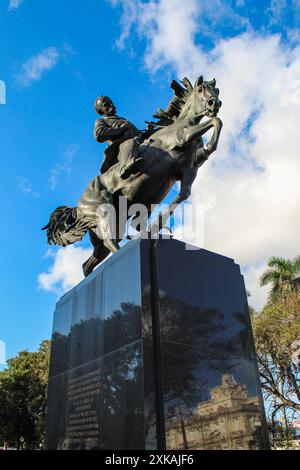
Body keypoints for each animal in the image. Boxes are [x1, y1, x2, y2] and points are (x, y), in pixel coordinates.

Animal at [44, 75, 223, 278]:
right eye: (200, 90)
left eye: (216, 91)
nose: (214, 103)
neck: (181, 123)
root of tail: (78, 206)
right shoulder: (182, 137)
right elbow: (216, 121)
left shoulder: (188, 169)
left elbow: (184, 193)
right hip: (104, 214)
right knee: (110, 242)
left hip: (111, 226)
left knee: (89, 263)